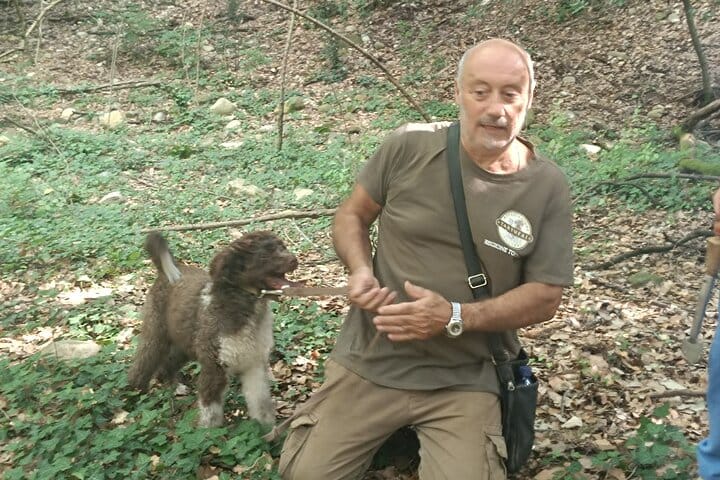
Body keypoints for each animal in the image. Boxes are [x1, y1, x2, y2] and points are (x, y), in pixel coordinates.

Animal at [128, 231, 298, 427]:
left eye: (283, 247)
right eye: (264, 256)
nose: (295, 260)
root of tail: (165, 272)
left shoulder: (253, 364)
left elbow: (261, 404)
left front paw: (267, 430)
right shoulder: (214, 368)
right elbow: (211, 415)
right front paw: (209, 434)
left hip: (184, 342)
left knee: (168, 364)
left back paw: (173, 386)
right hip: (156, 333)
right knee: (143, 363)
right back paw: (135, 394)